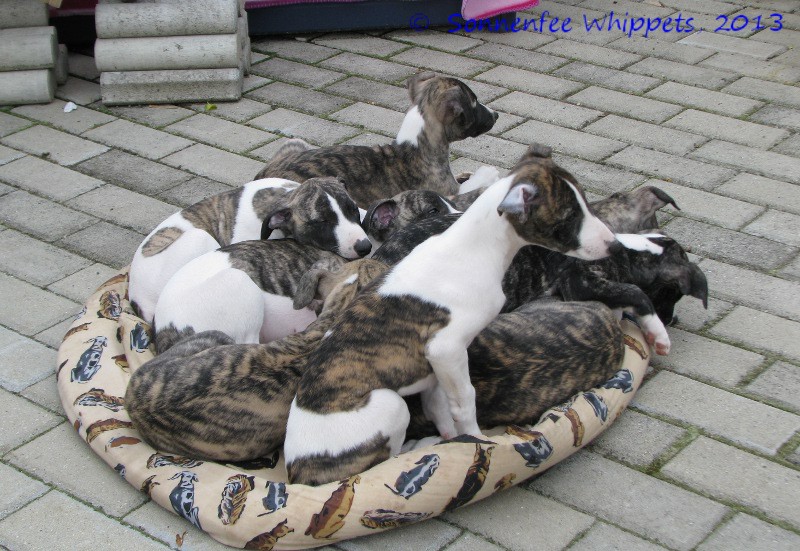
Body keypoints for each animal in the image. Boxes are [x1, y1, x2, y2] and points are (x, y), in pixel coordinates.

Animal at [254, 72, 499, 208]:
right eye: (474, 103)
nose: (496, 115)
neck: (415, 147)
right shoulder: (447, 192)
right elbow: (472, 183)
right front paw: (485, 173)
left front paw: (465, 174)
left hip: (296, 143)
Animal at [282, 144, 619, 486]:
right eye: (570, 216)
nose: (614, 245)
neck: (471, 247)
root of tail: (297, 472)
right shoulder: (447, 350)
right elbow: (465, 402)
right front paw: (478, 440)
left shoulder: (434, 368)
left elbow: (440, 405)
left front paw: (453, 436)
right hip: (392, 405)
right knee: (383, 461)